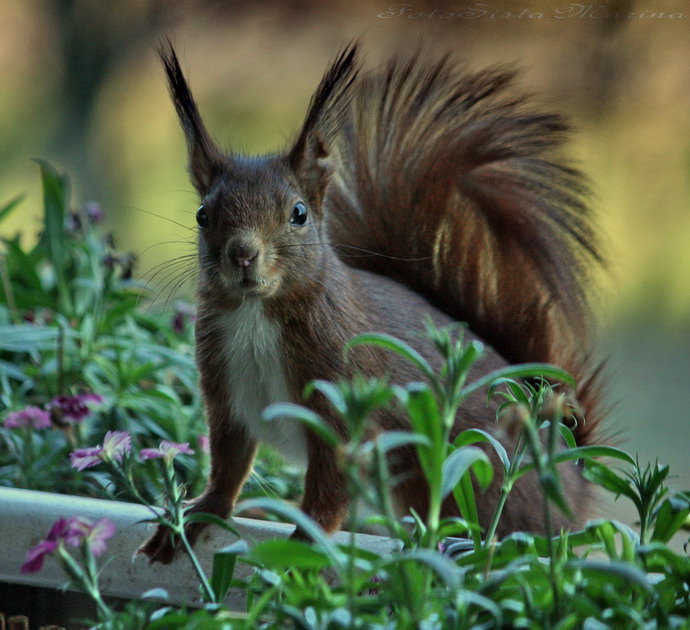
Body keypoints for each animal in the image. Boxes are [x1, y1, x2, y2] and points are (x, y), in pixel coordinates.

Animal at [141, 44, 600, 568]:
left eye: (299, 213)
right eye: (203, 214)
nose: (242, 253)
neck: (257, 315)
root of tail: (572, 471)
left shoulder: (345, 399)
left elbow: (331, 484)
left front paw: (307, 543)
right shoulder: (227, 395)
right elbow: (228, 465)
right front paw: (197, 516)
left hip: (480, 478)